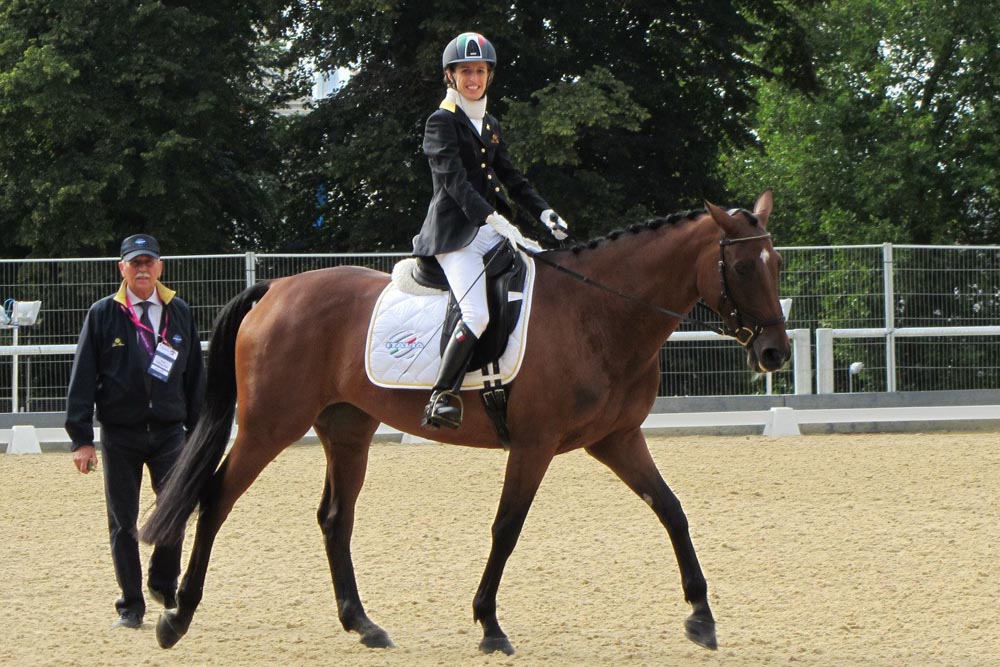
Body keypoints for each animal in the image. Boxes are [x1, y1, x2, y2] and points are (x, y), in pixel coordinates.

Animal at [140, 190, 790, 656]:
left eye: (777, 265)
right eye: (741, 267)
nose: (775, 353)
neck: (599, 313)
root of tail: (277, 287)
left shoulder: (616, 440)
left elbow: (672, 510)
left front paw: (701, 617)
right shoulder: (534, 445)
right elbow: (507, 528)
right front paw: (489, 625)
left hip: (347, 429)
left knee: (334, 518)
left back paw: (363, 624)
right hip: (269, 426)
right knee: (217, 498)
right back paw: (177, 615)